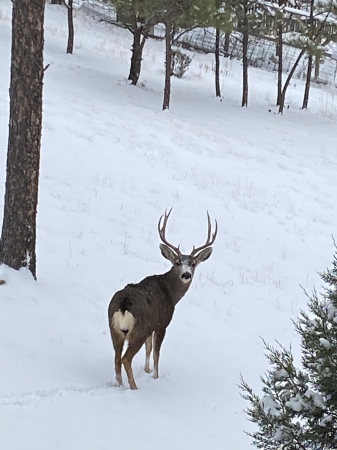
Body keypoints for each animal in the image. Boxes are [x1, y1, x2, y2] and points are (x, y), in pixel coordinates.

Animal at [108, 209, 218, 388]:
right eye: (178, 262)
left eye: (193, 264)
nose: (186, 274)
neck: (170, 293)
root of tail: (124, 305)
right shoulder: (161, 324)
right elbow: (156, 353)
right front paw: (155, 376)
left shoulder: (151, 328)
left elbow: (149, 348)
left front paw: (146, 370)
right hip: (138, 330)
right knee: (125, 358)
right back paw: (134, 387)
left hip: (115, 330)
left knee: (117, 358)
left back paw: (120, 385)